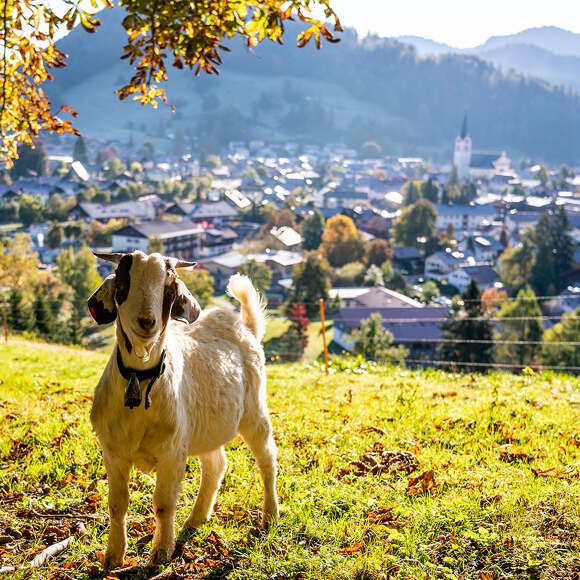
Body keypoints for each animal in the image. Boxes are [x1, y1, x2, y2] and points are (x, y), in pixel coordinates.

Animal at [87, 250, 280, 572]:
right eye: (124, 282)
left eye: (169, 290)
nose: (147, 321)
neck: (141, 379)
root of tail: (244, 326)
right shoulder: (113, 452)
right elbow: (117, 504)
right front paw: (113, 555)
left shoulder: (172, 454)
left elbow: (163, 504)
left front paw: (161, 553)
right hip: (205, 429)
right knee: (216, 464)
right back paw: (196, 519)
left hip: (255, 411)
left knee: (267, 461)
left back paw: (270, 516)